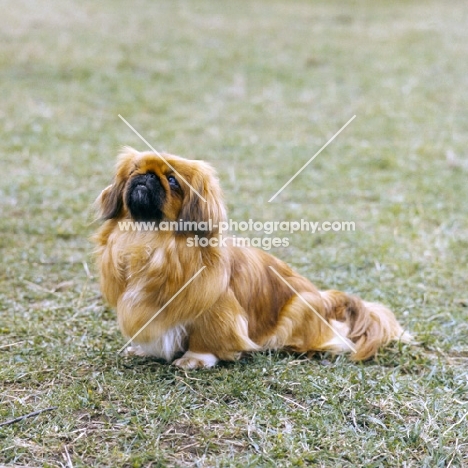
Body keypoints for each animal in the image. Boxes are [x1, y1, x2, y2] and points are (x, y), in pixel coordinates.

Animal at [94, 146, 410, 370]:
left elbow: (206, 338)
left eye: (172, 180)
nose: (146, 177)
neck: (151, 238)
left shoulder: (216, 308)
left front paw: (195, 359)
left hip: (297, 309)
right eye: (134, 171)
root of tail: (323, 298)